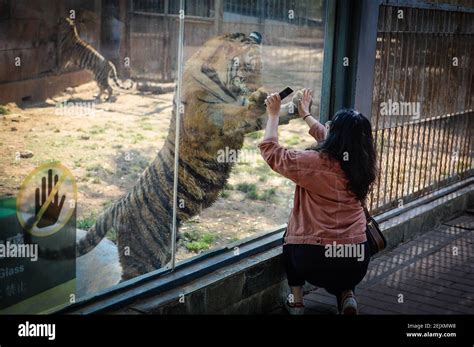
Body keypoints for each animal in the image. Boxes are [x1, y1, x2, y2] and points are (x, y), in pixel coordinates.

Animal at [44, 31, 304, 282]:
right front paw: (262, 101)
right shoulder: (206, 119)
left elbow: (267, 117)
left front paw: (293, 104)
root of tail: (119, 204)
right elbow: (236, 114)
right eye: (250, 68)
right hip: (144, 255)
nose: (262, 87)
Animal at [260, 89, 378, 316]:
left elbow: (275, 154)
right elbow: (320, 132)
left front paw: (274, 106)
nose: (329, 121)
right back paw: (349, 303)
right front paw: (303, 105)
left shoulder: (304, 162)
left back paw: (297, 305)